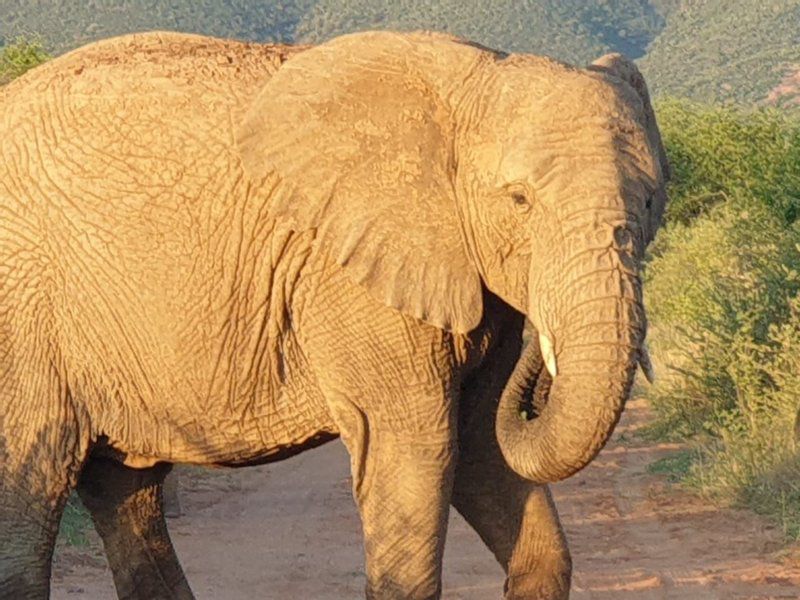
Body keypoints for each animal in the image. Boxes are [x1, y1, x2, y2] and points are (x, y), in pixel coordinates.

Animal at [0, 29, 668, 600]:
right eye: (520, 200)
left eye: (651, 202)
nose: (540, 365)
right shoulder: (349, 275)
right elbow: (421, 445)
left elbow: (485, 442)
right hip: (23, 312)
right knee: (30, 492)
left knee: (127, 496)